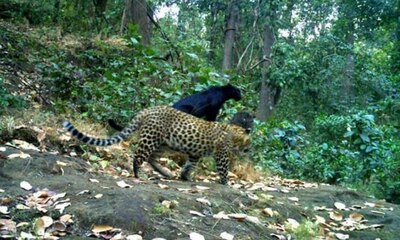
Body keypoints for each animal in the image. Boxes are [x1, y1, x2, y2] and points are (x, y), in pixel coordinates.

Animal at [62, 105, 250, 184]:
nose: (249, 149)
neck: (236, 134)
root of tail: (148, 110)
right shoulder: (222, 153)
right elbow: (224, 169)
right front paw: (226, 183)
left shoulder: (195, 154)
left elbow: (189, 165)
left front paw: (185, 177)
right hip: (151, 139)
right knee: (138, 157)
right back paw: (140, 175)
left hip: (164, 144)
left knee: (151, 157)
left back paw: (165, 172)